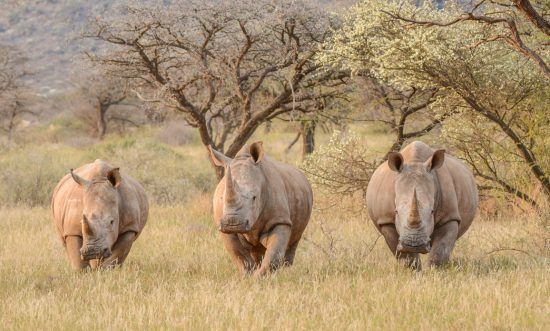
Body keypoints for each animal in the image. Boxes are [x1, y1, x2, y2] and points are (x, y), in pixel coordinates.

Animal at [210, 142, 314, 278]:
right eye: (222, 198)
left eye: (254, 198)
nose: (232, 223)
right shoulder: (222, 224)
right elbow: (238, 254)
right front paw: (247, 275)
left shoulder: (280, 220)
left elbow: (274, 254)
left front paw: (259, 277)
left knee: (294, 240)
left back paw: (287, 271)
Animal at [366, 141, 478, 270]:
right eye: (396, 212)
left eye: (432, 211)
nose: (414, 245)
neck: (415, 161)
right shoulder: (386, 220)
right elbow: (406, 257)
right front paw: (413, 271)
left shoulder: (449, 217)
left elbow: (440, 252)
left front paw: (434, 271)